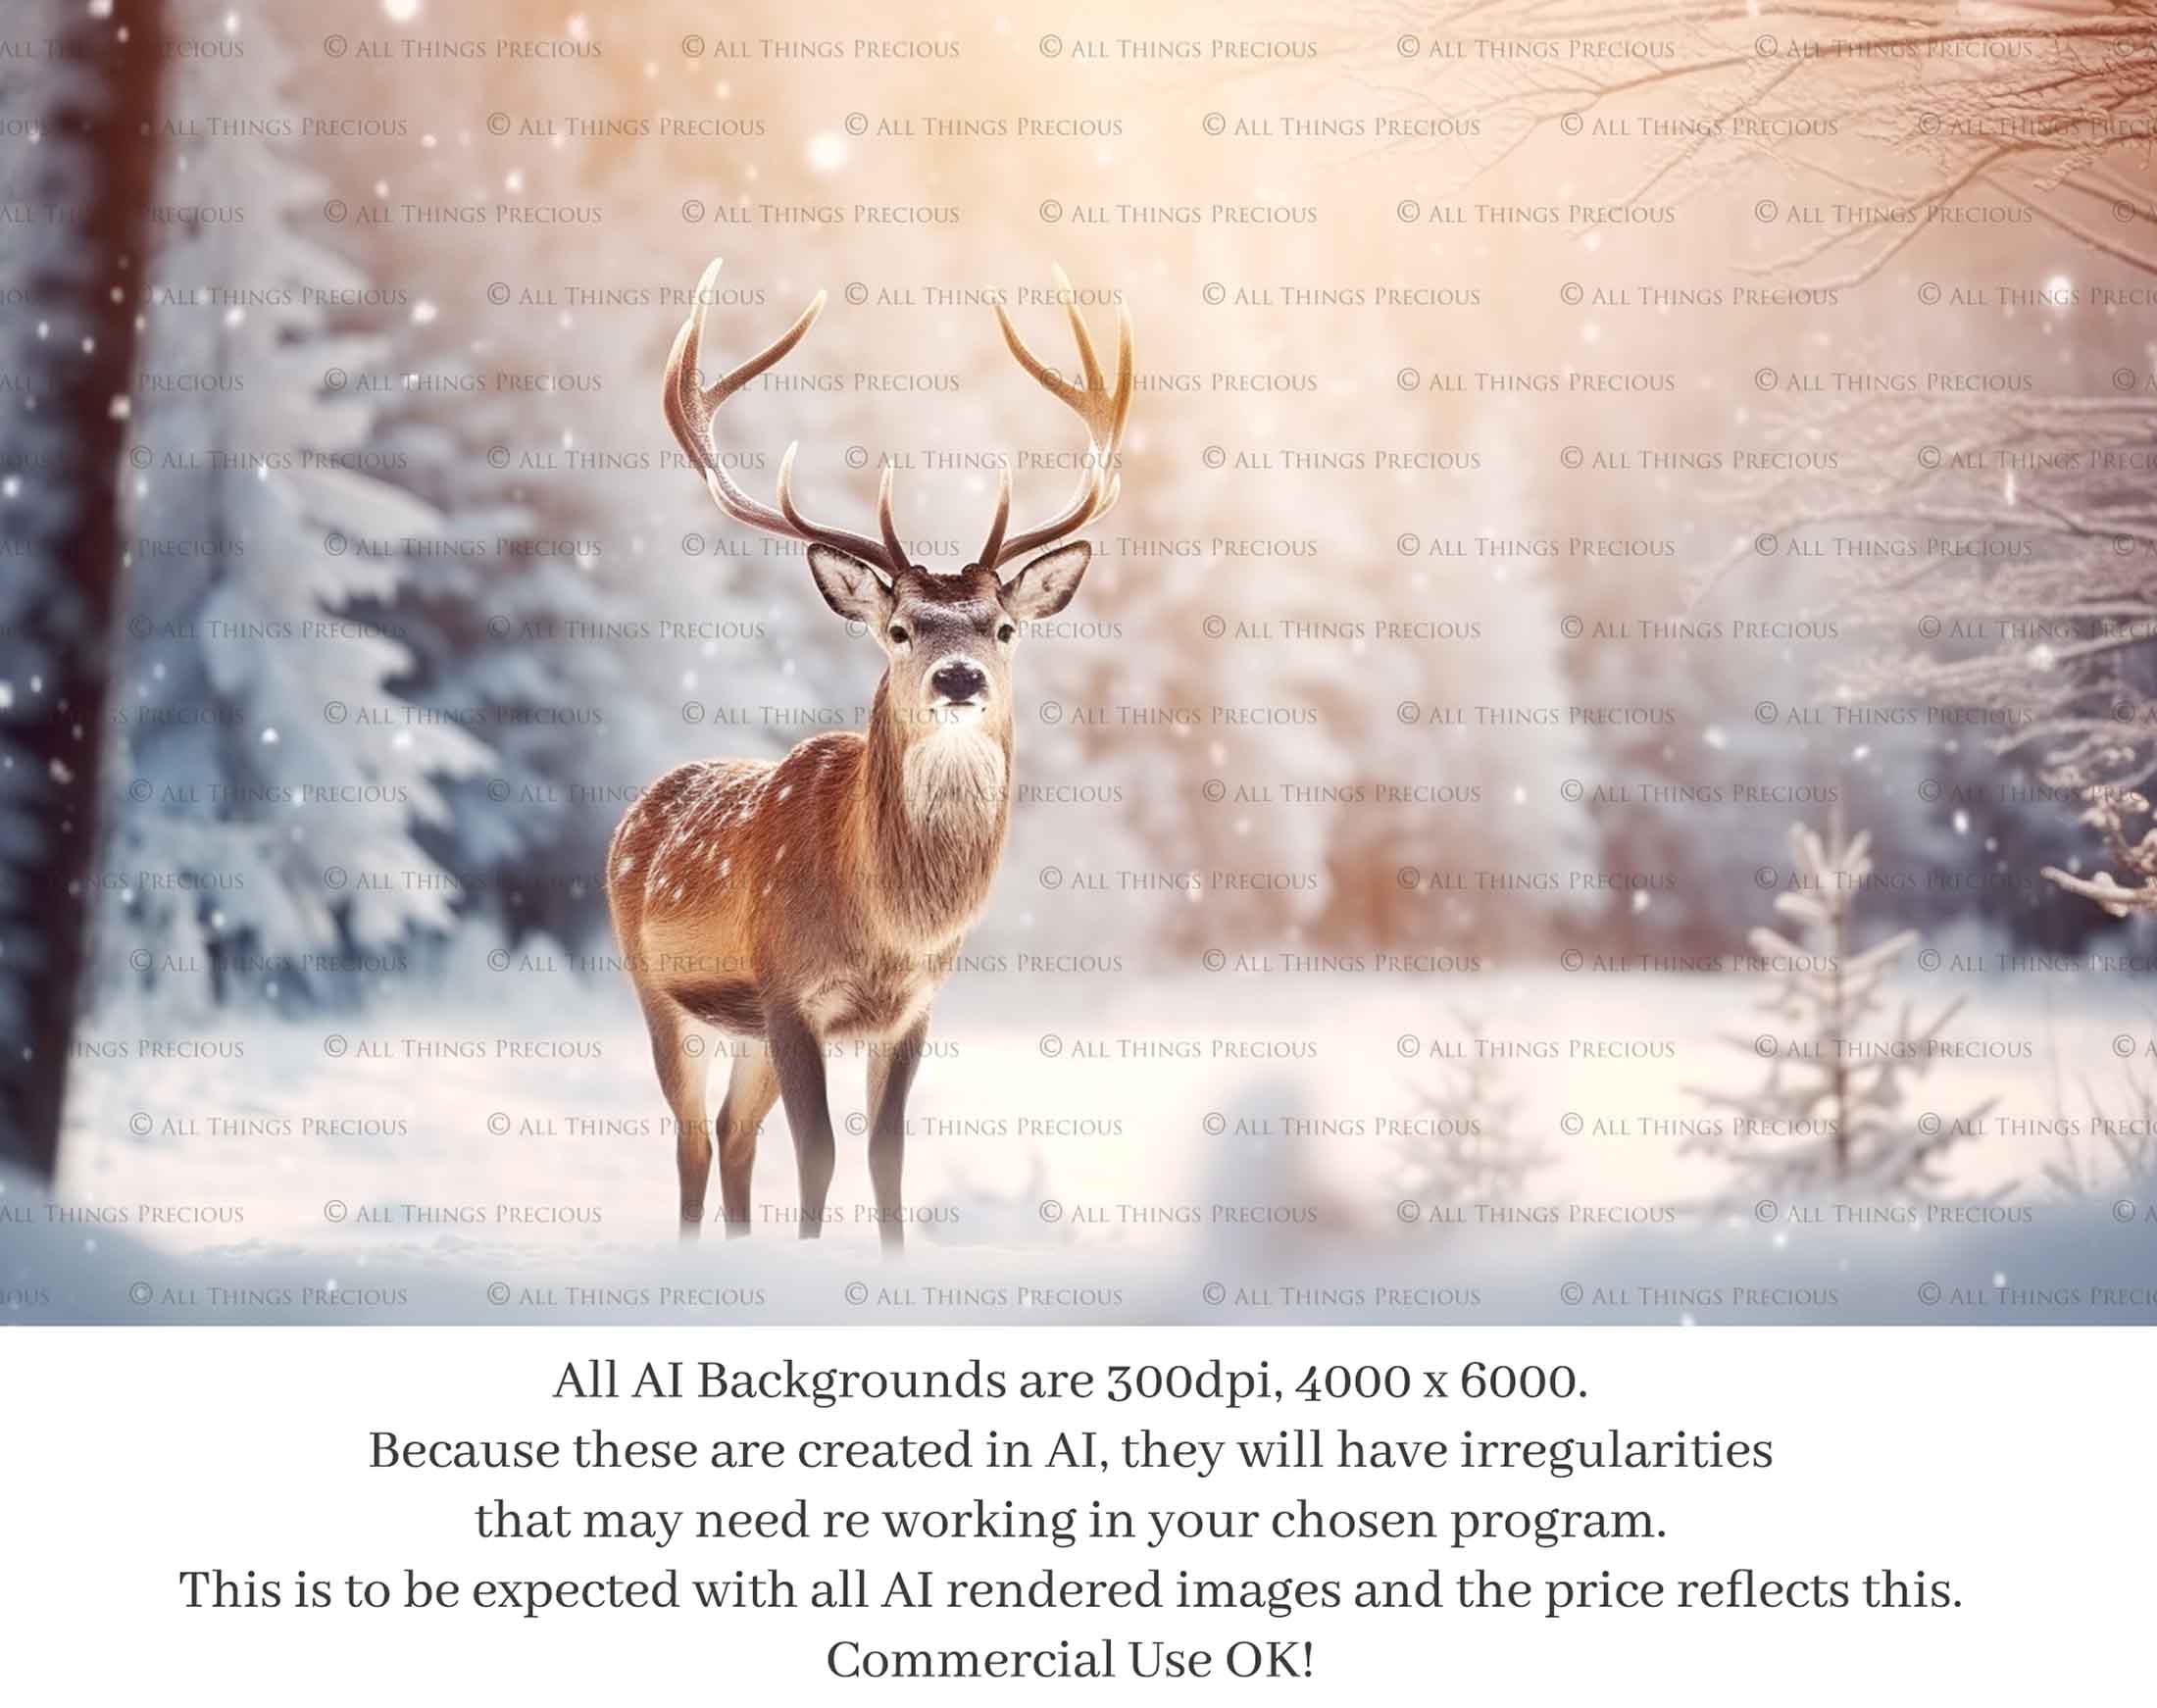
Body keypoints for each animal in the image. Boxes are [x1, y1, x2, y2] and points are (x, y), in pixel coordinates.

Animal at [607, 255, 1133, 1252]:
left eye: (1004, 626)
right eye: (897, 629)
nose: (959, 677)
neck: (891, 924)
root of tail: (639, 806)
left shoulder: (913, 1009)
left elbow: (888, 1157)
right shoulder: (788, 990)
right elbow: (819, 1155)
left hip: (741, 1031)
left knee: (732, 1134)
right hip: (659, 989)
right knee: (693, 1135)